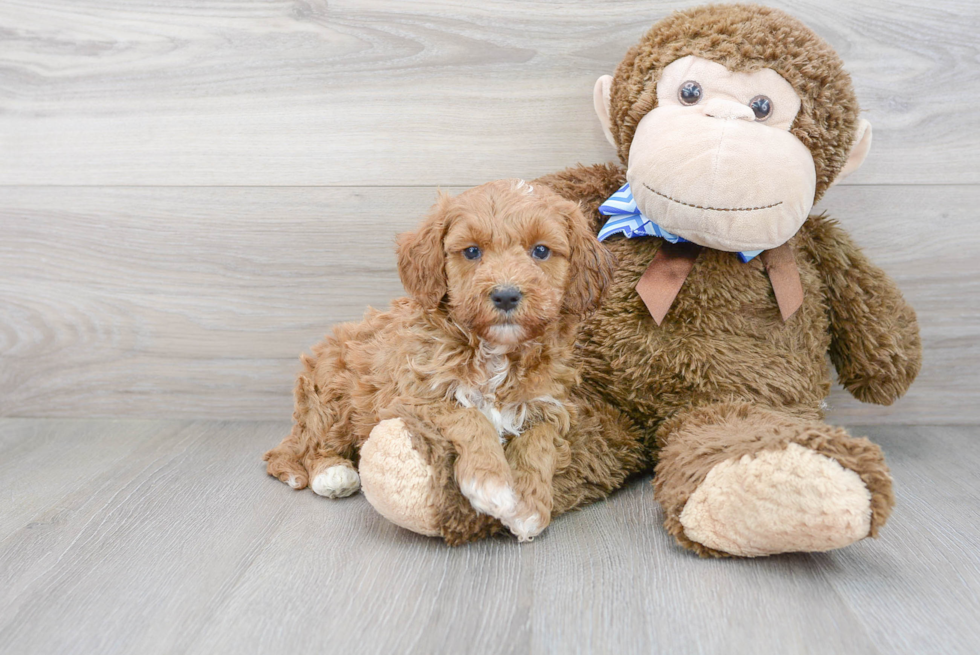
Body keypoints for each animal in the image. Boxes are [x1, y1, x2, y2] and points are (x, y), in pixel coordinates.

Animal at [264, 177, 616, 540]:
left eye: (541, 251)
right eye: (472, 251)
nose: (505, 295)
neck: (496, 352)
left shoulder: (551, 405)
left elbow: (539, 442)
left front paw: (529, 506)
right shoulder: (413, 396)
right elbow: (469, 415)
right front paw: (491, 483)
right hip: (330, 395)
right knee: (299, 449)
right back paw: (332, 473)